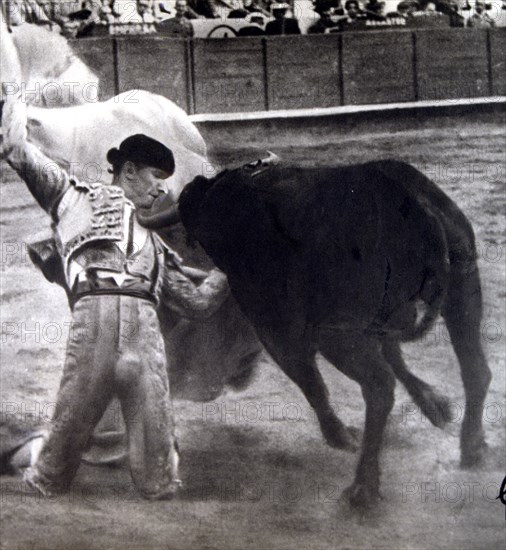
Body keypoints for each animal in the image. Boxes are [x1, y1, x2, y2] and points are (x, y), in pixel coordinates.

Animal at [142, 160, 490, 508]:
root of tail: (418, 208)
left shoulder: (276, 329)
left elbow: (311, 382)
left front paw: (339, 435)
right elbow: (394, 355)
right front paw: (435, 404)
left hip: (337, 335)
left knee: (379, 386)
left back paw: (364, 485)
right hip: (463, 285)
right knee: (475, 369)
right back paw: (471, 445)